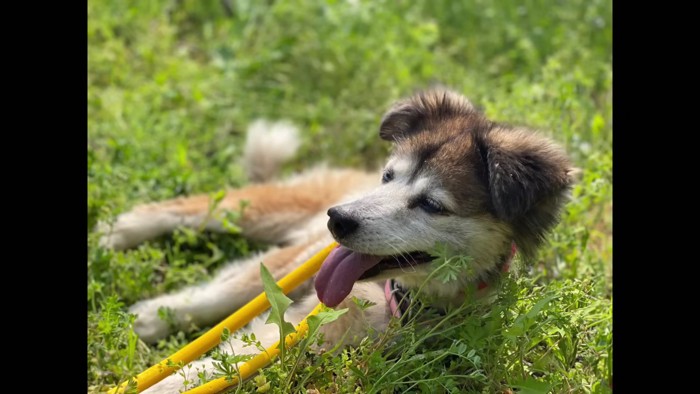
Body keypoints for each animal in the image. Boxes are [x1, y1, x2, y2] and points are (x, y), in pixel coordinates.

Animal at [101, 87, 576, 392]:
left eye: (432, 204)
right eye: (389, 177)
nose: (339, 220)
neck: (394, 297)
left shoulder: (317, 334)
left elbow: (227, 360)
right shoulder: (304, 270)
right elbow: (220, 313)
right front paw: (153, 329)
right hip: (274, 219)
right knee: (194, 213)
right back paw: (121, 234)